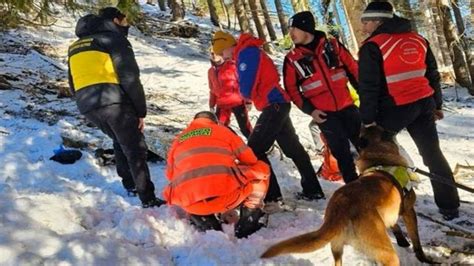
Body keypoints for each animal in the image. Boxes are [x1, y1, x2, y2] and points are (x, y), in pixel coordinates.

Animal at [262, 125, 436, 264]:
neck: (378, 157)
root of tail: (339, 209)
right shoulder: (409, 211)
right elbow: (416, 241)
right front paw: (422, 257)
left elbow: (395, 225)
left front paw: (401, 240)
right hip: (388, 255)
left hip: (337, 249)